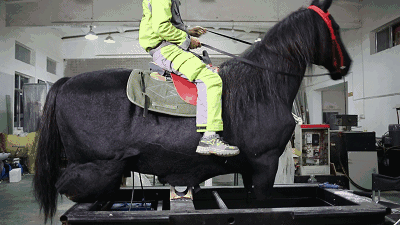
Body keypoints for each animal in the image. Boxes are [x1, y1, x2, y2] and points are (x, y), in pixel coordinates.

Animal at [34, 0, 352, 221]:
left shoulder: (252, 169)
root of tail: (65, 82)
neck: (262, 86)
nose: (346, 65)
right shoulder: (264, 164)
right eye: (334, 29)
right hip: (96, 167)